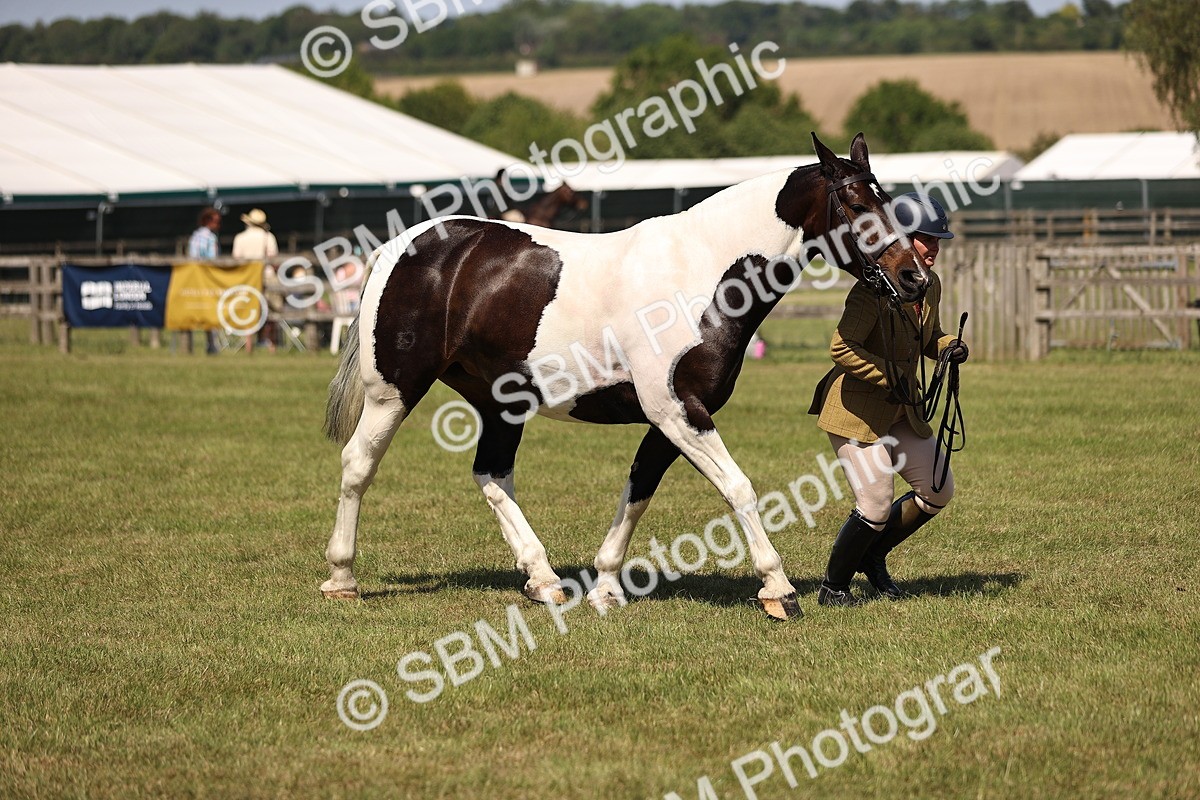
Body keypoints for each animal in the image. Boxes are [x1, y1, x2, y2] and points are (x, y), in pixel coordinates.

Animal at [321, 133, 931, 621]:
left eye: (887, 199)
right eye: (855, 202)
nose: (914, 277)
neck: (703, 272)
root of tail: (403, 246)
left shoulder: (667, 419)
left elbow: (638, 491)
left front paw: (606, 585)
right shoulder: (679, 411)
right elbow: (738, 487)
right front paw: (777, 589)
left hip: (501, 402)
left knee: (491, 475)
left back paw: (545, 580)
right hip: (394, 391)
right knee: (357, 464)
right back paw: (342, 578)